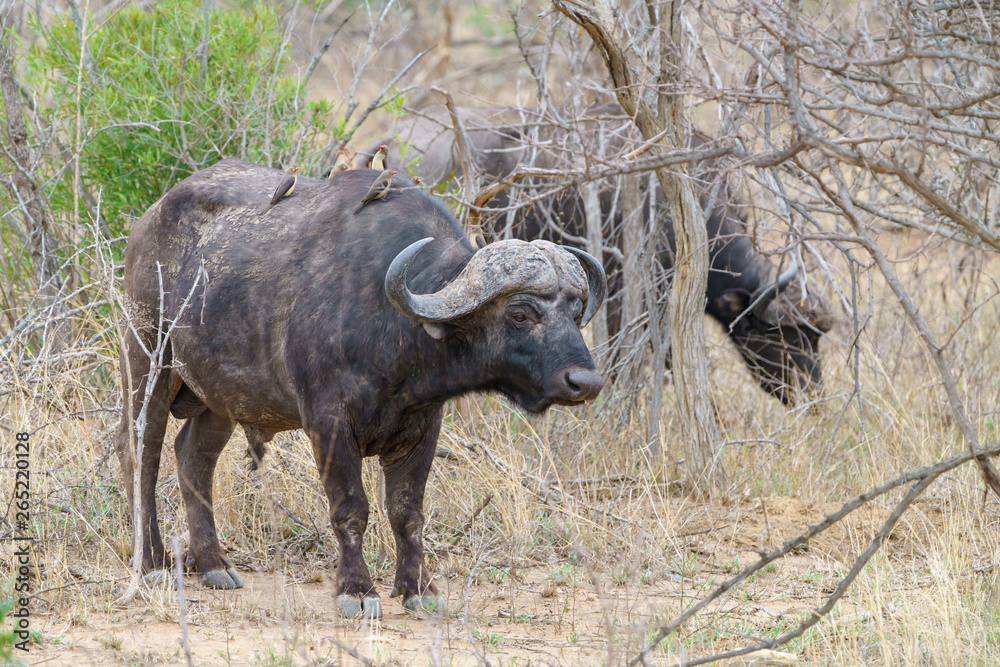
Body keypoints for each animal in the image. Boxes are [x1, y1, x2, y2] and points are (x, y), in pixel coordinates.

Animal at [113, 159, 607, 618]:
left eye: (575, 310)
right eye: (520, 314)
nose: (585, 382)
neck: (393, 329)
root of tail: (148, 221)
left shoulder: (422, 428)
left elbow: (408, 513)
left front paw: (418, 588)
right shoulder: (328, 423)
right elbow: (350, 508)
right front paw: (357, 591)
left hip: (221, 398)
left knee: (193, 457)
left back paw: (214, 563)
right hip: (147, 361)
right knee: (142, 452)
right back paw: (152, 561)